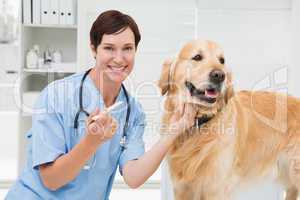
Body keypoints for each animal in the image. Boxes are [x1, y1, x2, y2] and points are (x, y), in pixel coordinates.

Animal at [161, 39, 300, 200]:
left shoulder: (216, 188)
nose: (219, 75)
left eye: (222, 60)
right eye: (197, 57)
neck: (201, 123)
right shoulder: (182, 188)